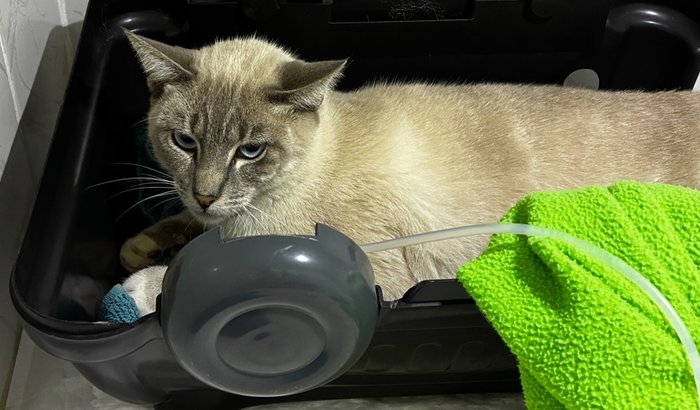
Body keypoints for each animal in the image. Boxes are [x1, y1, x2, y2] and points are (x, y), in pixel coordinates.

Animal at [119, 30, 700, 313]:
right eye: (185, 142)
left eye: (251, 152)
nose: (206, 195)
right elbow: (183, 230)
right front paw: (140, 247)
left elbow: (197, 273)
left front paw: (139, 289)